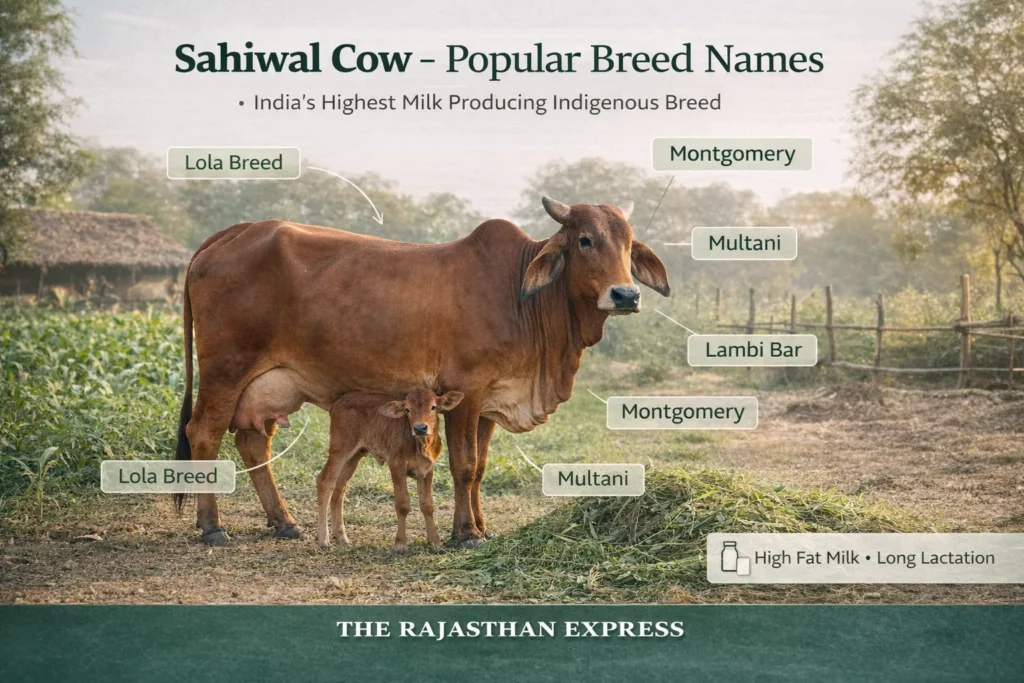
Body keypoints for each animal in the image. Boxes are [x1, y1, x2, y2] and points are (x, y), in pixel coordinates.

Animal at [316, 387, 464, 552]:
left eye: (433, 407)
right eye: (407, 409)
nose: (420, 428)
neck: (420, 445)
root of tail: (338, 402)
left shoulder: (427, 470)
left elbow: (427, 505)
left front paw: (435, 541)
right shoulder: (396, 465)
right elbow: (402, 504)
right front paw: (400, 544)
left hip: (354, 456)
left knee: (340, 487)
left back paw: (341, 536)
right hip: (340, 449)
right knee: (325, 481)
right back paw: (323, 540)